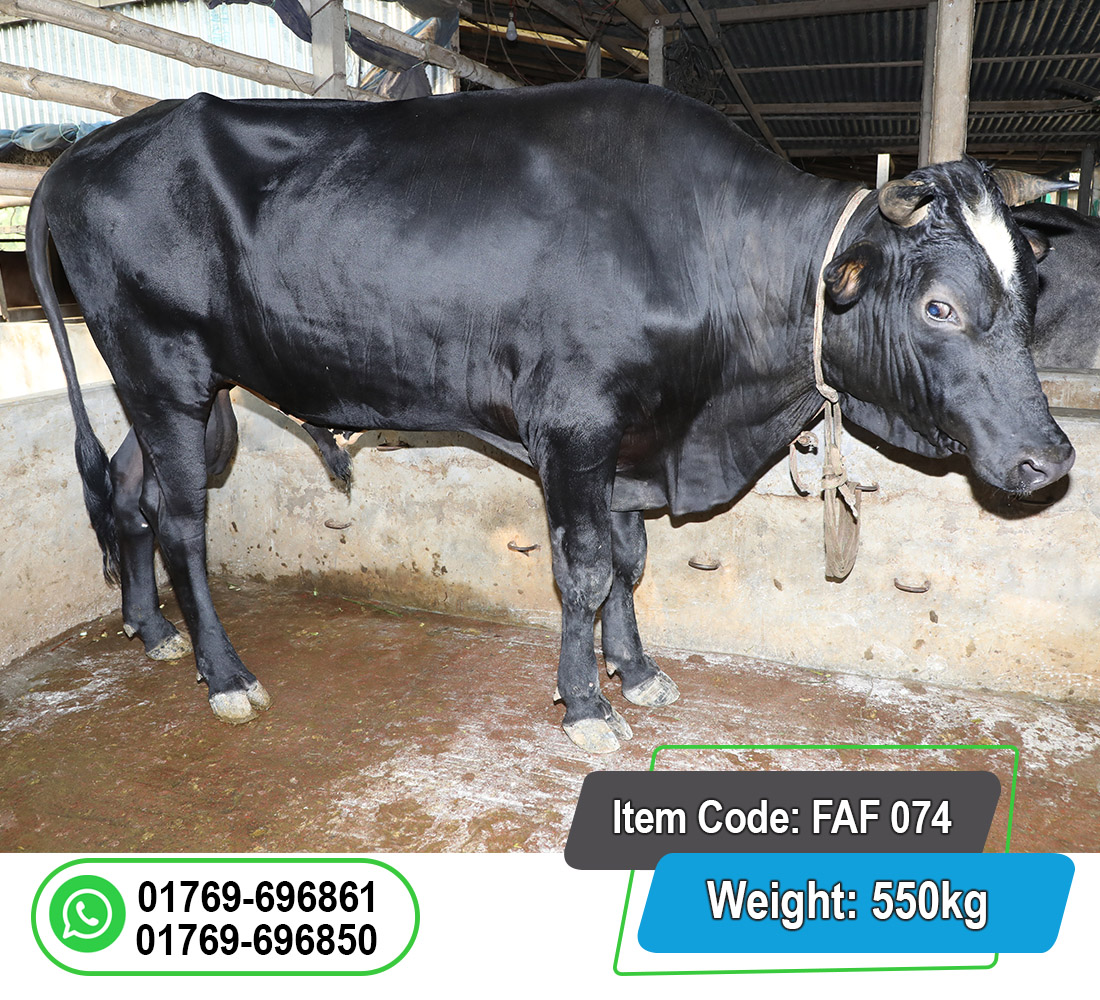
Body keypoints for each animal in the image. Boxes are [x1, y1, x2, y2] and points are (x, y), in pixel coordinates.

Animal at [29, 80, 1074, 753]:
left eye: (1030, 289)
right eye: (939, 307)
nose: (1050, 458)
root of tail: (86, 151)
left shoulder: (632, 441)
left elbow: (629, 564)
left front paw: (636, 672)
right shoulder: (575, 427)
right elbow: (583, 572)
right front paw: (584, 706)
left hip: (182, 392)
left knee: (130, 494)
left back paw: (150, 629)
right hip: (163, 369)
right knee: (182, 522)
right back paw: (226, 675)